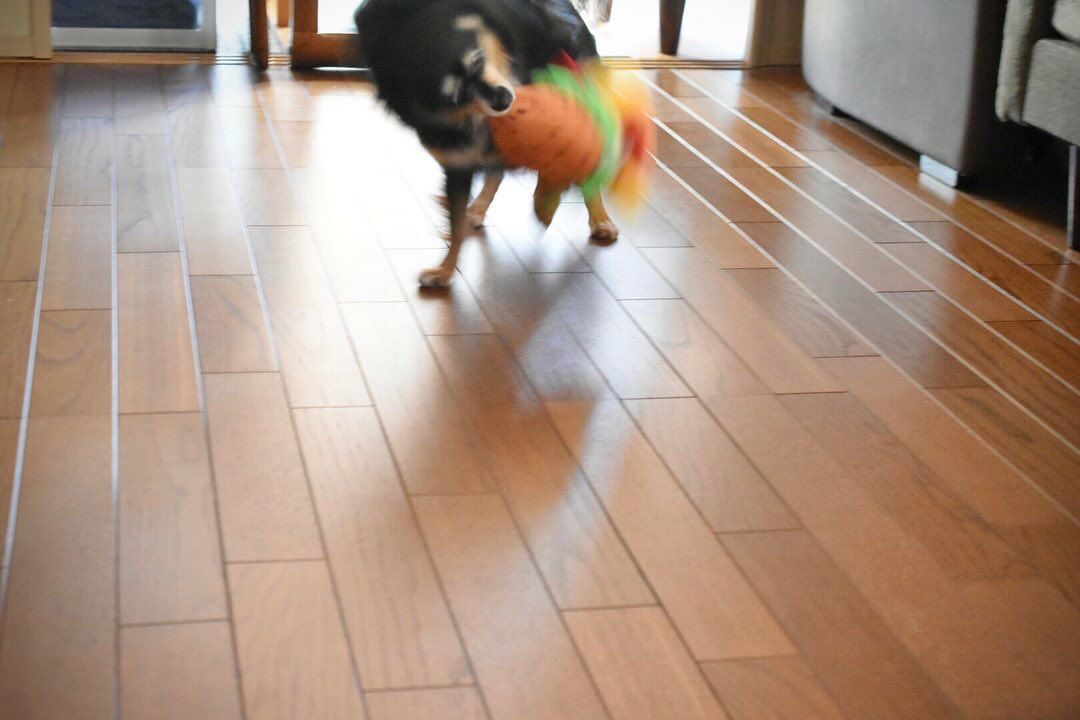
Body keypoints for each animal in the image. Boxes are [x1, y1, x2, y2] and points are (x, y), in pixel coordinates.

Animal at [354, 0, 618, 287]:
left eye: (477, 59)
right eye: (456, 95)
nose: (504, 99)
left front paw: (545, 202)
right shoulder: (456, 162)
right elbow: (456, 223)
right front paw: (445, 271)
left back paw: (600, 221)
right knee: (496, 173)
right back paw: (479, 207)